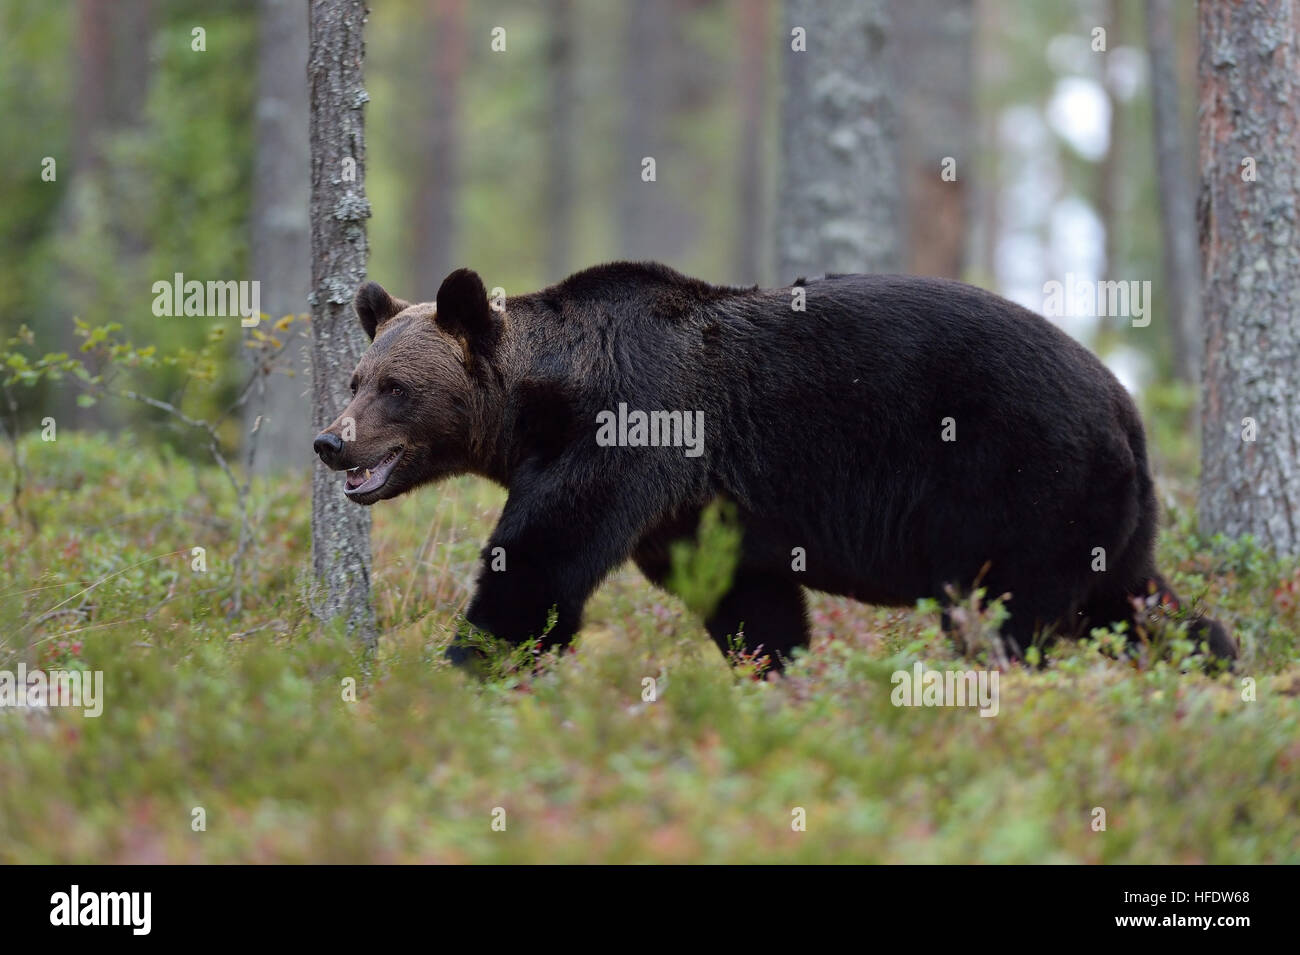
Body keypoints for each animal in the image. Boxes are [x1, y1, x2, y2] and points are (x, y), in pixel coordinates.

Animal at [312, 262, 1236, 670]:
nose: (331, 441)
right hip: (1106, 510)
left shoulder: (632, 436)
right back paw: (1217, 661)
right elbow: (752, 606)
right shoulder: (694, 512)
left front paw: (458, 672)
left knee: (1022, 613)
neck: (547, 401)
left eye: (395, 387)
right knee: (1134, 597)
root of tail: (1125, 400)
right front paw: (780, 676)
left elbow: (537, 573)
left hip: (1023, 481)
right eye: (355, 378)